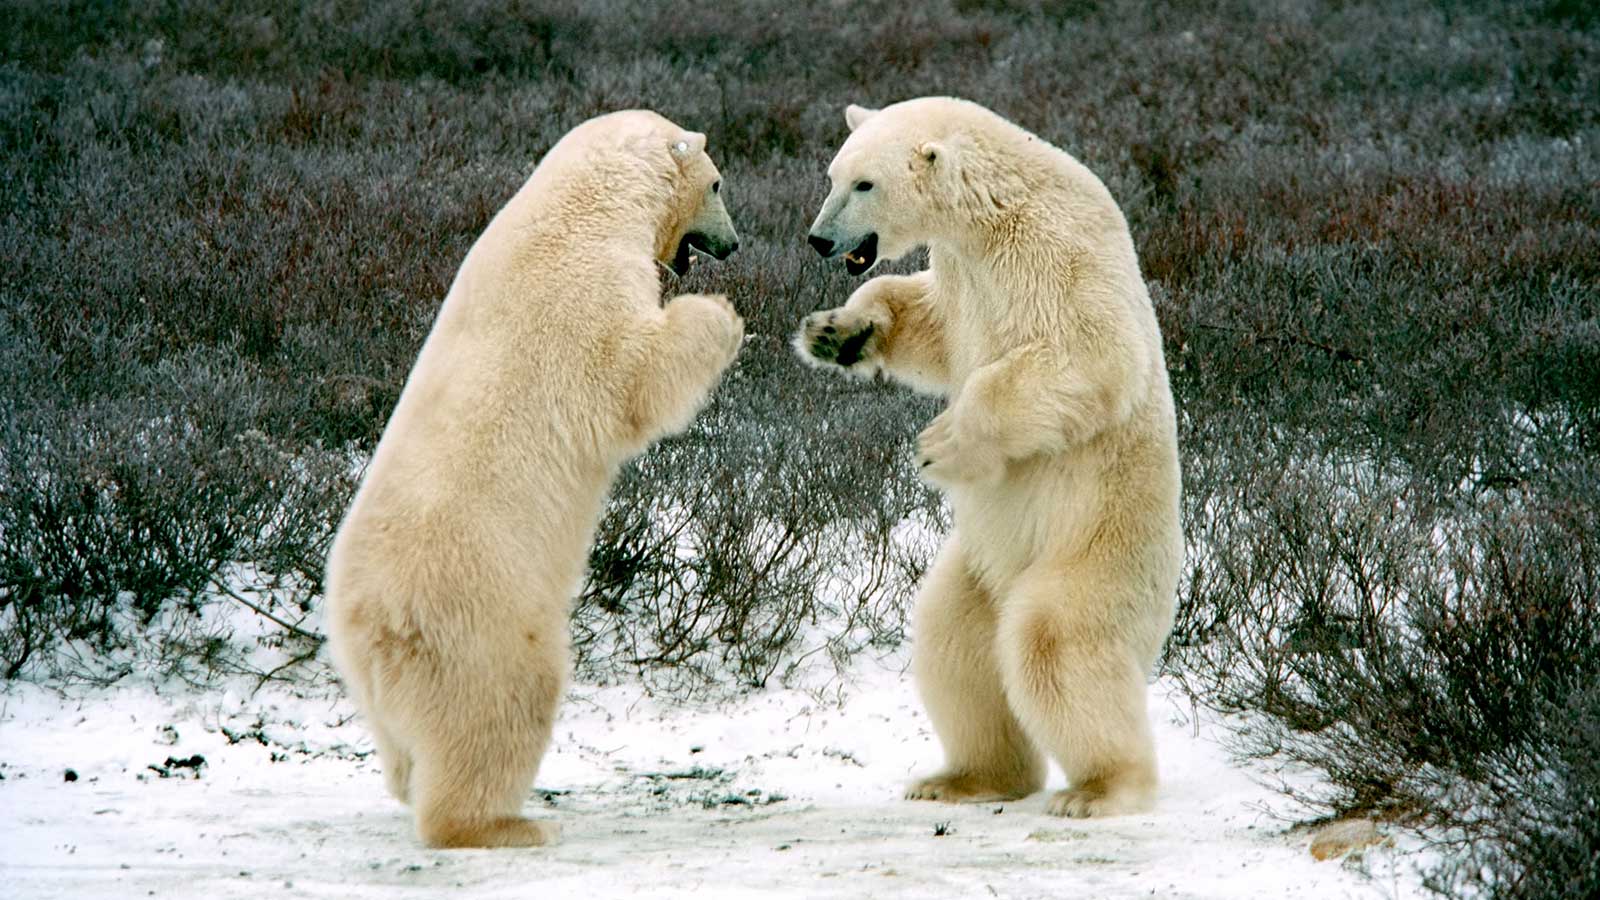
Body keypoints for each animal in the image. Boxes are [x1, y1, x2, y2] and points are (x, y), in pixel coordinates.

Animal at [326, 108, 748, 845]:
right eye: (717, 182)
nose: (732, 243)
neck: (583, 207)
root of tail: (372, 622)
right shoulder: (590, 292)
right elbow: (637, 377)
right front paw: (721, 314)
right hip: (482, 613)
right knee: (503, 705)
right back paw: (498, 824)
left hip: (371, 669)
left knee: (401, 742)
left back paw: (409, 782)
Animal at [793, 96, 1184, 813]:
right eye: (833, 175)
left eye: (865, 184)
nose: (820, 239)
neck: (996, 211)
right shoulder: (961, 271)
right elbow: (931, 323)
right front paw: (838, 331)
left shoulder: (1057, 253)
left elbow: (1090, 354)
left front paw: (942, 445)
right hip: (974, 566)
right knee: (955, 644)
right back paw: (965, 778)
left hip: (1096, 546)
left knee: (1057, 642)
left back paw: (1101, 789)